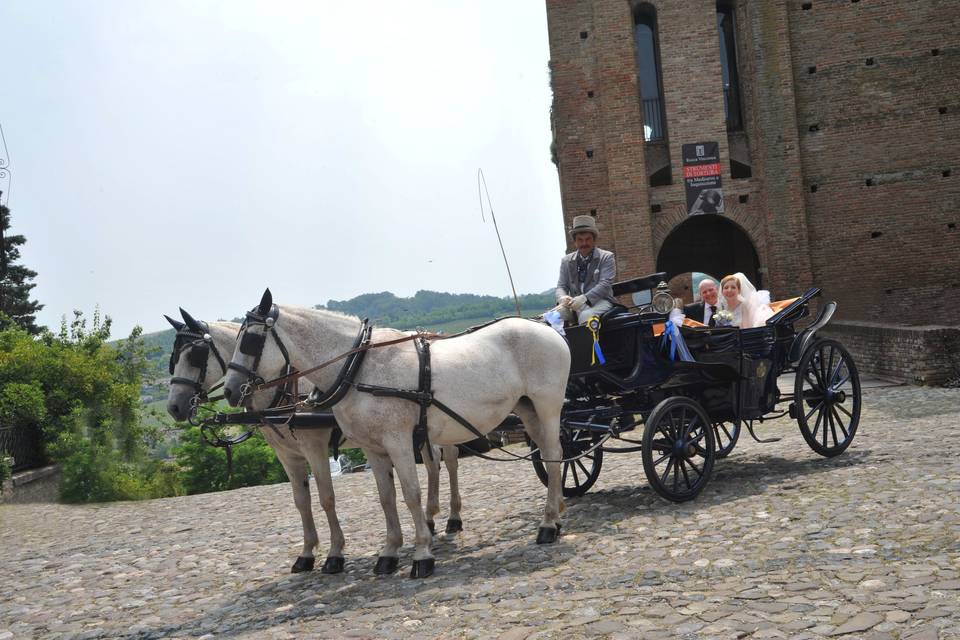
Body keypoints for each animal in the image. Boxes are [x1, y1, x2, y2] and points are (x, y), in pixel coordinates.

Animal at [167, 308, 466, 576]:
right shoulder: (286, 455)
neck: (284, 387)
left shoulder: (314, 448)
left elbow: (326, 498)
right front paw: (307, 554)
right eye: (173, 358)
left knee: (449, 461)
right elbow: (301, 500)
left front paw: (334, 555)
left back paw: (452, 518)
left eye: (194, 355)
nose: (174, 407)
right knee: (433, 463)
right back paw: (430, 518)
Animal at [225, 288, 568, 576]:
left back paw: (547, 525)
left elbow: (411, 494)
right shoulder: (372, 448)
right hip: (527, 409)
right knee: (549, 455)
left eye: (250, 340)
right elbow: (386, 498)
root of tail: (544, 327)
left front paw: (422, 554)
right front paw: (389, 552)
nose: (230, 391)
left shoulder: (397, 440)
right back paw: (557, 512)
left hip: (548, 406)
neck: (358, 367)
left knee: (553, 456)